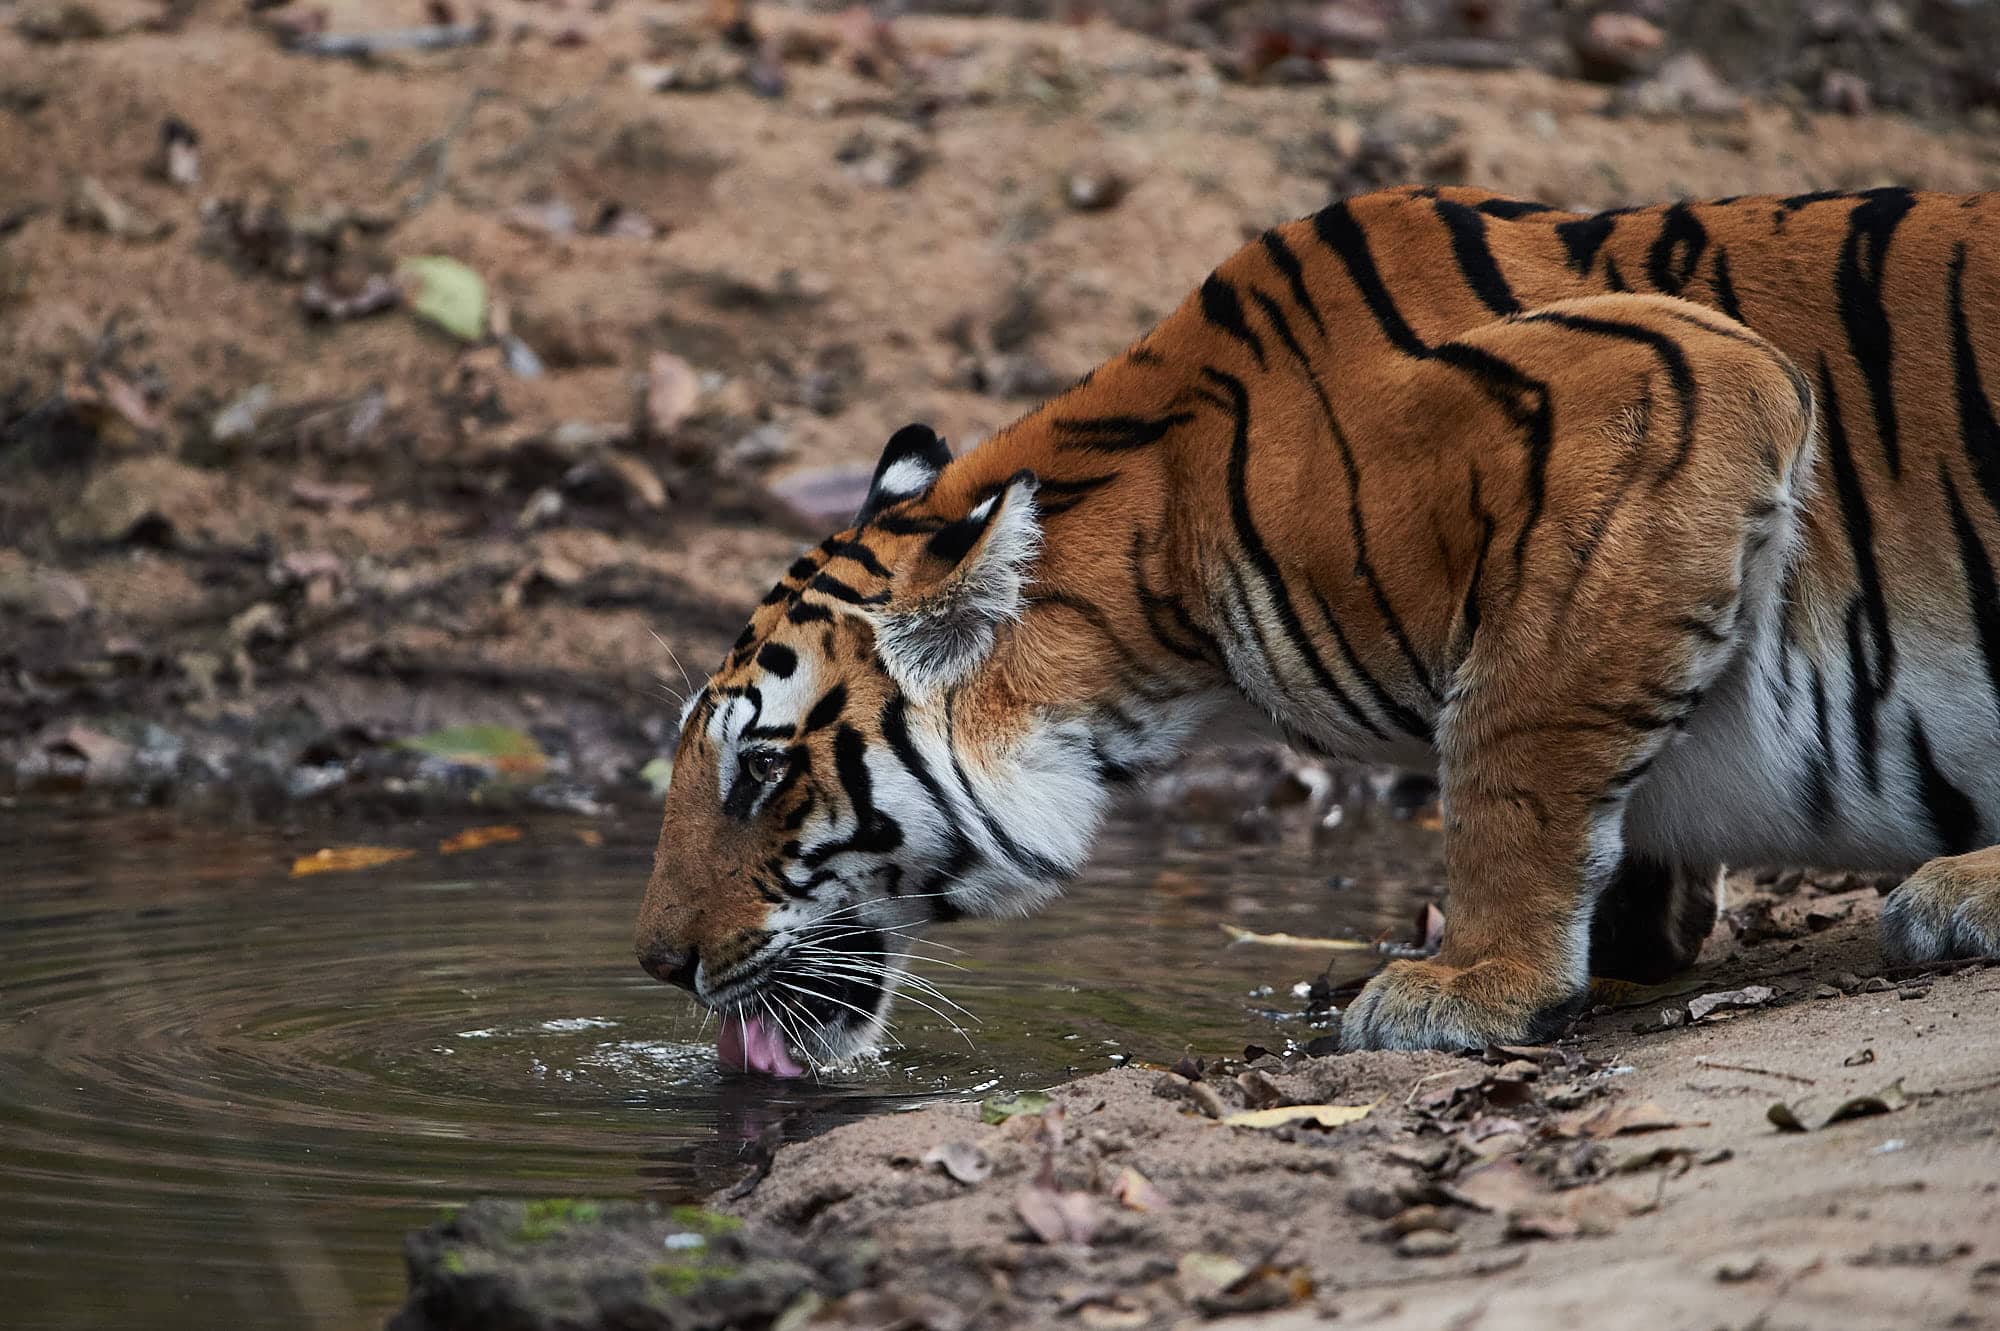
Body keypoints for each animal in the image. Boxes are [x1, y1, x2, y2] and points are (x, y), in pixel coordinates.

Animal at [636, 181, 2000, 1063]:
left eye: (759, 772)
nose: (655, 965)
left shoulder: (1674, 381)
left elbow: (1510, 748)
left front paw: (1474, 984)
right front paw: (1629, 936)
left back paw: (1955, 893)